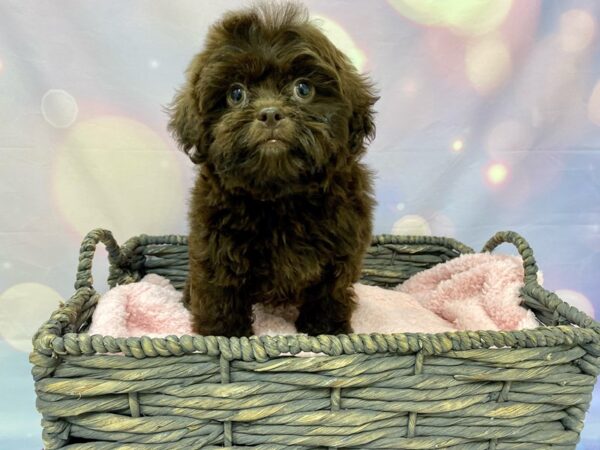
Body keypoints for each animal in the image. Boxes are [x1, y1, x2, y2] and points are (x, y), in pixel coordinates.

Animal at [168, 0, 376, 338]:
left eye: (303, 89)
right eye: (236, 94)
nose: (270, 113)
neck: (281, 198)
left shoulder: (342, 248)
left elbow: (330, 289)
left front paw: (326, 328)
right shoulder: (214, 246)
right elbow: (220, 290)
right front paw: (222, 334)